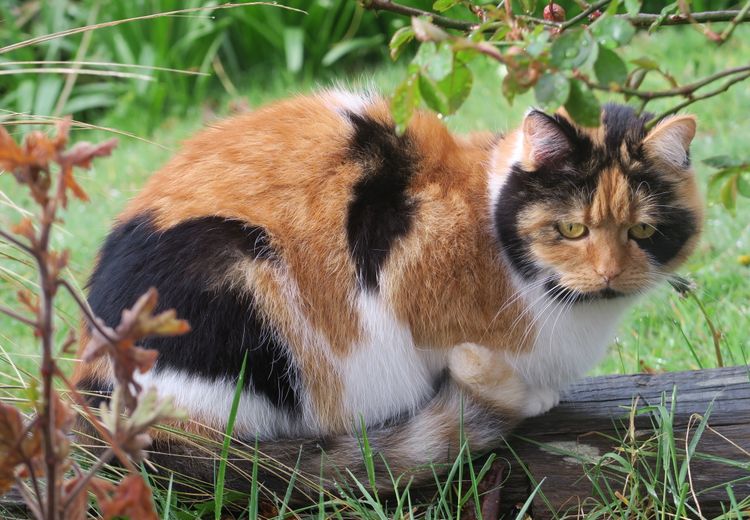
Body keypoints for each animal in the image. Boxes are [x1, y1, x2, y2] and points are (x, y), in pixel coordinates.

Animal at [73, 91, 704, 498]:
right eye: (571, 229)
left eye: (642, 232)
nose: (609, 274)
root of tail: (94, 397)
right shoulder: (403, 280)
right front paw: (527, 391)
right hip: (239, 268)